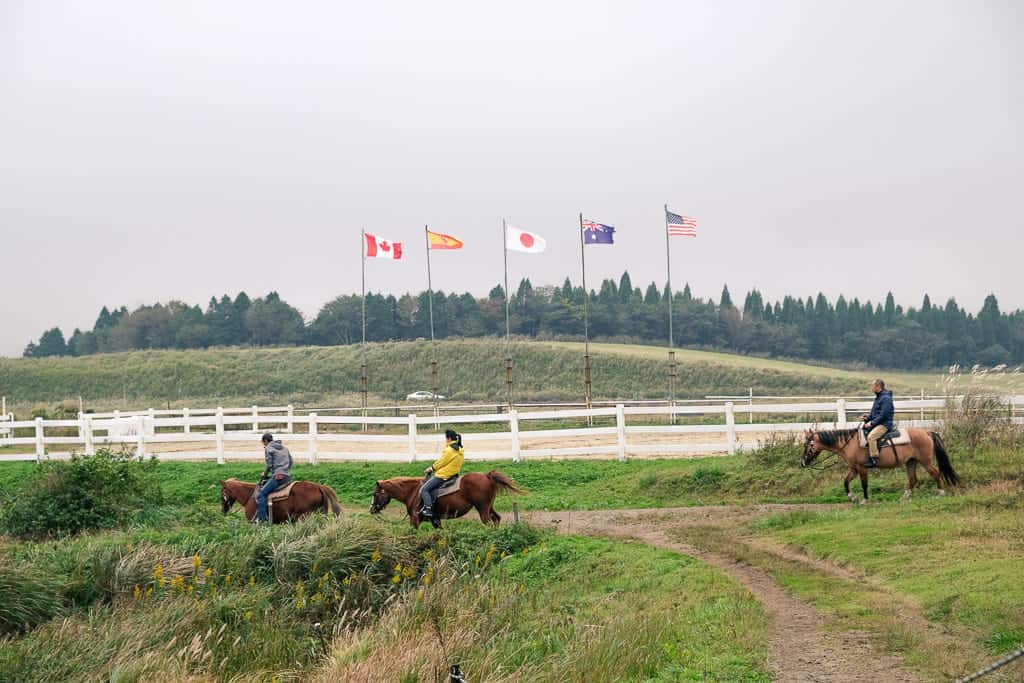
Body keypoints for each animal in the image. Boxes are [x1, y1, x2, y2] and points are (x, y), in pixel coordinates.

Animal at [368, 473, 524, 532]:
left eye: (375, 494)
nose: (372, 509)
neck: (413, 491)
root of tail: (487, 476)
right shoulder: (435, 520)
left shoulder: (415, 519)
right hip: (489, 507)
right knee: (497, 518)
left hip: (483, 509)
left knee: (490, 523)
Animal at [798, 423, 958, 505]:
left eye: (808, 445)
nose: (803, 462)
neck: (850, 443)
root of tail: (927, 432)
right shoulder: (854, 468)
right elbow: (846, 482)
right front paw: (852, 497)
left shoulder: (862, 468)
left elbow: (864, 484)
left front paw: (864, 500)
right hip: (910, 462)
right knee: (913, 479)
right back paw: (904, 497)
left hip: (925, 461)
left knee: (935, 473)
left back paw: (940, 493)